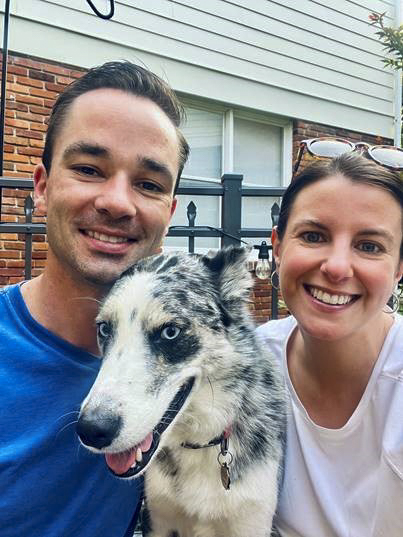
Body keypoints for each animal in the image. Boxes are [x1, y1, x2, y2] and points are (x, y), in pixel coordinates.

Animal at [76, 247, 288, 536]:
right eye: (105, 329)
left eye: (170, 332)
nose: (91, 430)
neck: (200, 442)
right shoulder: (158, 518)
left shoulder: (251, 521)